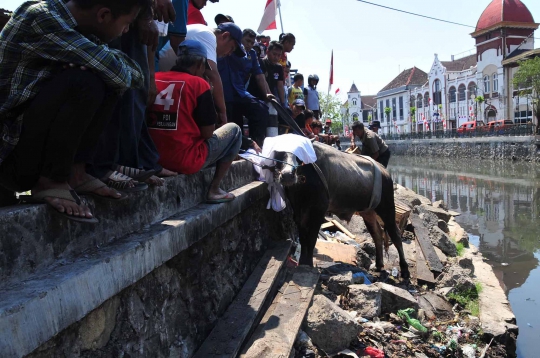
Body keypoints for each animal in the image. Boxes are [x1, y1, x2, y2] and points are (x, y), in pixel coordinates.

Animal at [274, 141, 410, 278]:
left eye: (299, 153)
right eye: (279, 151)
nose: (287, 175)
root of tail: (385, 172)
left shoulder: (318, 211)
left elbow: (311, 239)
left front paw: (308, 264)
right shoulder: (298, 212)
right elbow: (303, 238)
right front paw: (302, 262)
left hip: (387, 207)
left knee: (395, 234)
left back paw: (404, 270)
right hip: (368, 212)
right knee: (377, 233)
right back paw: (378, 264)